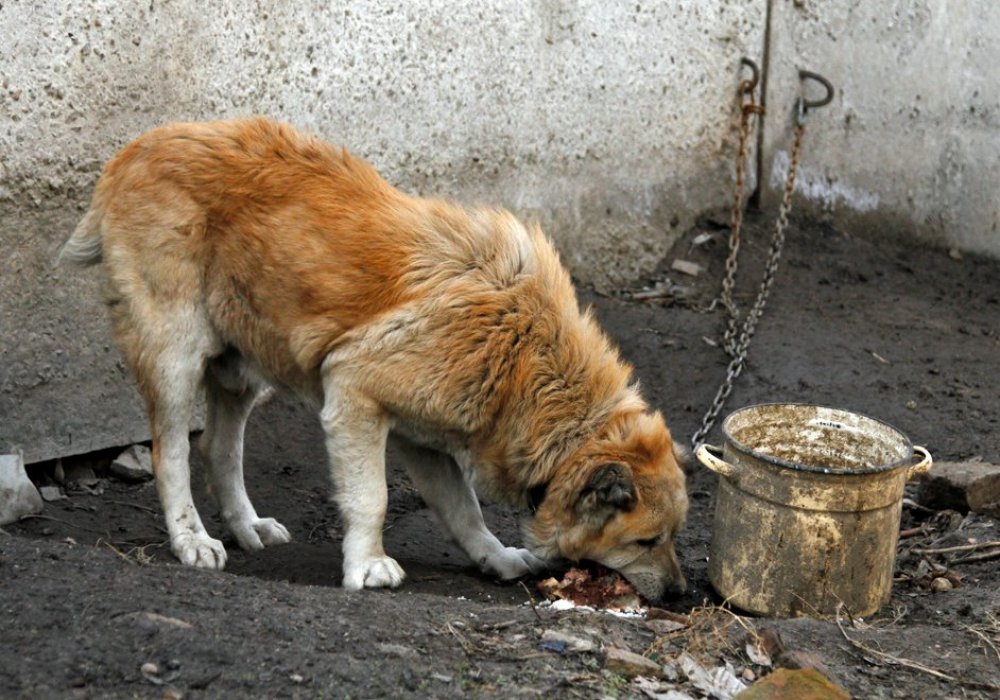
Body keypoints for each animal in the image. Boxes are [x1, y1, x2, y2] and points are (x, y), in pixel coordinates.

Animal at [60, 117, 688, 600]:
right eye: (647, 541)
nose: (681, 594)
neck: (523, 360)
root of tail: (135, 151)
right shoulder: (354, 392)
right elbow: (373, 498)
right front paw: (366, 565)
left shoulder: (427, 439)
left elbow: (464, 510)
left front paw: (495, 557)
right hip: (175, 357)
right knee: (169, 452)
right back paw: (191, 539)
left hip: (242, 366)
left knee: (219, 445)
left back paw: (245, 526)